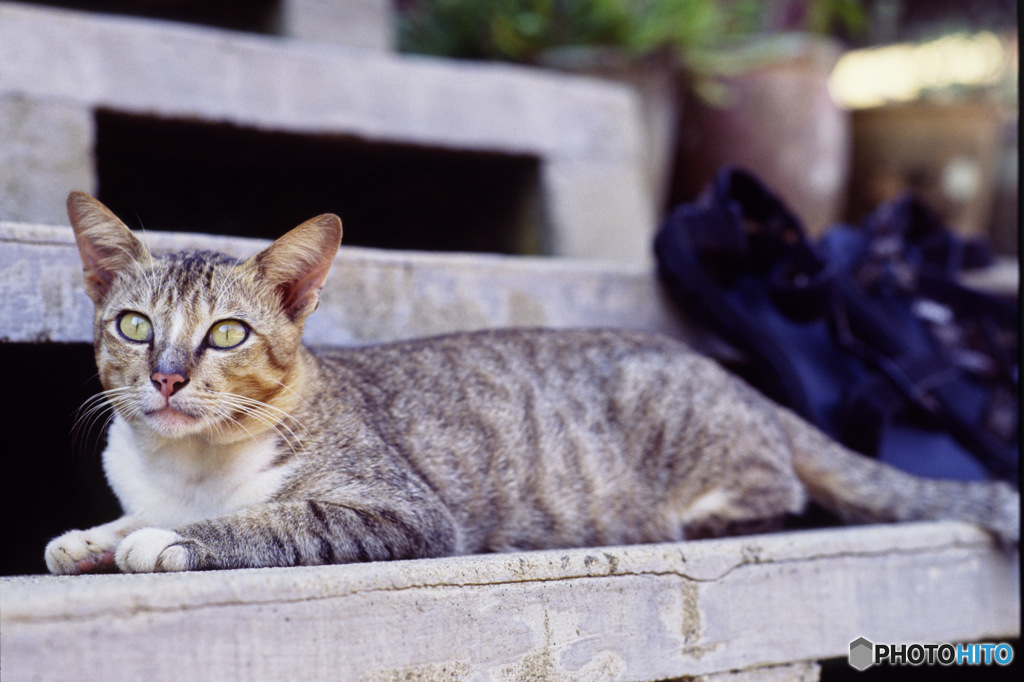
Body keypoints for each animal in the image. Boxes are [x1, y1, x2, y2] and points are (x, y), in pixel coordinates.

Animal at [46, 192, 1015, 573]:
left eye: (227, 334)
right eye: (136, 327)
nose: (167, 378)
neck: (190, 468)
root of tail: (734, 380)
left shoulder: (402, 510)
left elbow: (273, 521)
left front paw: (168, 540)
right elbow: (126, 518)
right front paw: (93, 535)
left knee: (777, 490)